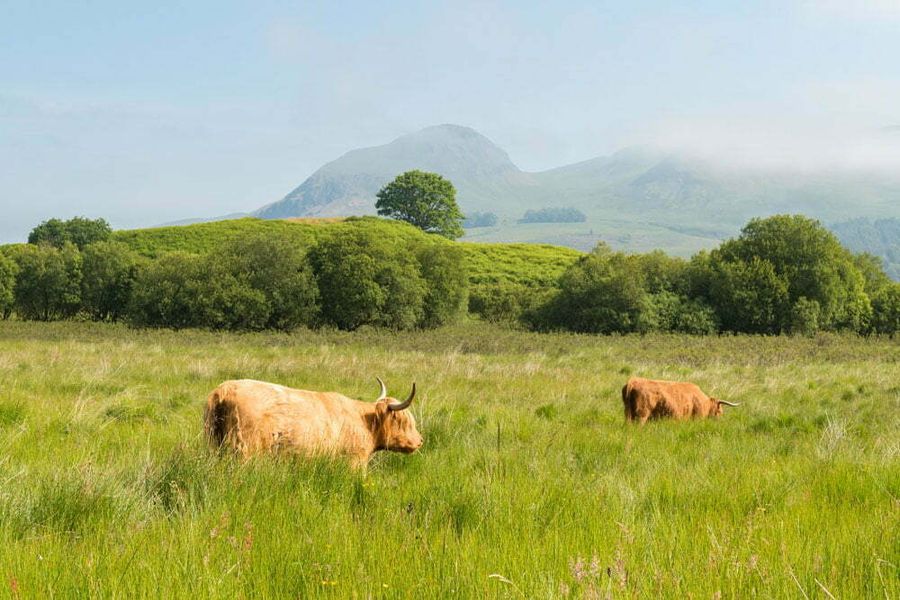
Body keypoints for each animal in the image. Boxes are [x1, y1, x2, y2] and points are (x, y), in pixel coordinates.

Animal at [204, 377, 422, 469]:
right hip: (247, 451)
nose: (420, 440)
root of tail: (224, 390)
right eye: (404, 422)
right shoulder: (355, 461)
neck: (365, 423)